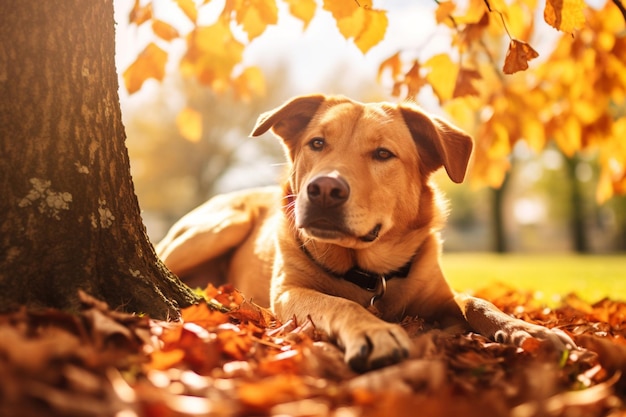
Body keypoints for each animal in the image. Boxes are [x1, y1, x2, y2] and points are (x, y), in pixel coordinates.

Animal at [155, 93, 572, 370]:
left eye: (383, 154)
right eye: (317, 143)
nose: (324, 189)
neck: (370, 272)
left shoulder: (441, 295)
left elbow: (477, 301)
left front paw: (527, 330)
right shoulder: (290, 293)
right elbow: (338, 303)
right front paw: (372, 331)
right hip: (218, 228)